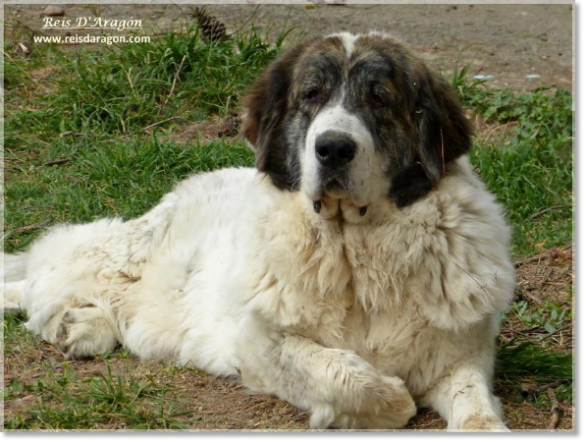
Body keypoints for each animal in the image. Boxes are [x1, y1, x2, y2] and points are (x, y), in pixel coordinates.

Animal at [3, 31, 512, 430]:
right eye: (311, 96)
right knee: (44, 282)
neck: (356, 247)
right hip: (125, 256)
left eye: (378, 100)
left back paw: (82, 326)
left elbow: (474, 403)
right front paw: (393, 396)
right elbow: (345, 375)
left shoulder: (461, 356)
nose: (332, 148)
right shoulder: (259, 344)